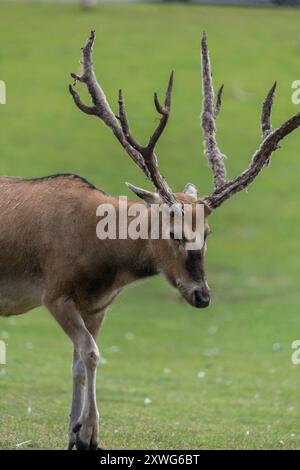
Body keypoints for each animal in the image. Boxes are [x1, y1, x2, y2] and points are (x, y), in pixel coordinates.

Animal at [0, 31, 300, 450]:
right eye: (174, 231)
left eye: (208, 232)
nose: (202, 296)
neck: (101, 258)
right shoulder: (55, 292)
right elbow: (91, 354)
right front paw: (89, 434)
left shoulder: (98, 306)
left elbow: (78, 359)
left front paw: (76, 431)